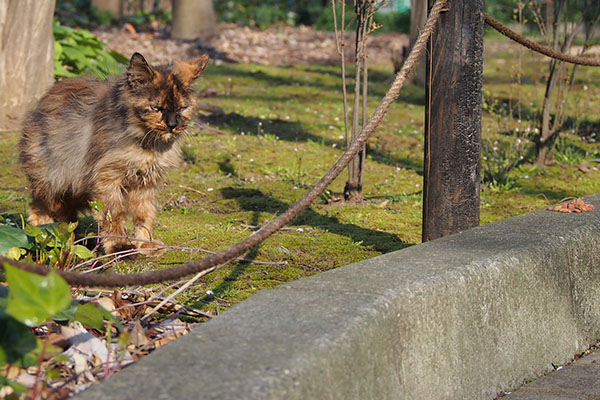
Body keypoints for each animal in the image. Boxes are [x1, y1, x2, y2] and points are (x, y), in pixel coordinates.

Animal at [18, 51, 210, 255]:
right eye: (157, 108)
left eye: (182, 108)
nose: (172, 125)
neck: (148, 146)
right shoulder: (108, 179)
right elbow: (115, 216)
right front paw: (120, 247)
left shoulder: (146, 184)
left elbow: (144, 216)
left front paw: (145, 244)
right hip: (54, 179)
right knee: (39, 206)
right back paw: (45, 236)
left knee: (64, 215)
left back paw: (67, 241)